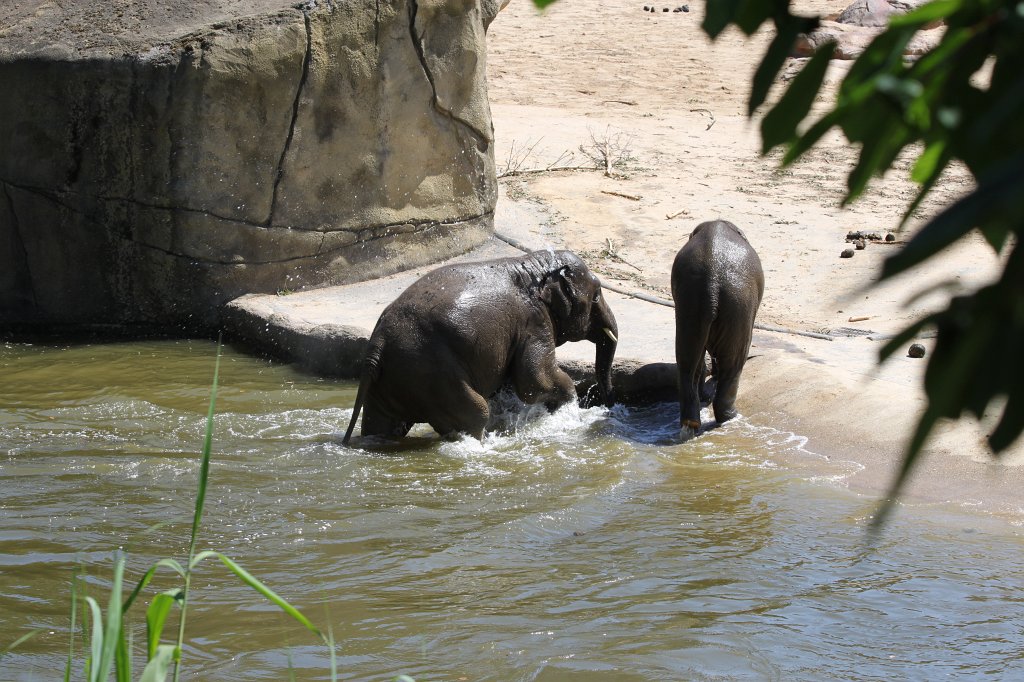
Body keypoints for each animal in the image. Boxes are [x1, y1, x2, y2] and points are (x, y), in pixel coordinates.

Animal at [342, 249, 618, 443]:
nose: (608, 403)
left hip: (389, 381)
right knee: (476, 413)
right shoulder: (534, 321)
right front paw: (569, 402)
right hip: (434, 375)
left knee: (381, 423)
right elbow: (535, 381)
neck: (536, 266)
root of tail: (378, 342)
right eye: (596, 295)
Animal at [671, 220, 764, 441]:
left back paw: (691, 423)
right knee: (734, 363)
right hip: (739, 308)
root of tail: (712, 282)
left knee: (687, 363)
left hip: (691, 307)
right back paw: (731, 416)